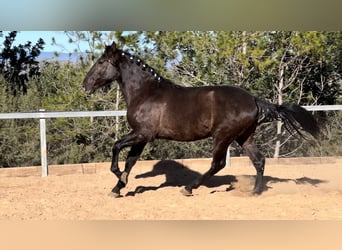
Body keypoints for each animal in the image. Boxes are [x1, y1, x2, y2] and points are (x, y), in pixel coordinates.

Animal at [83, 41, 320, 197]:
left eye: (102, 61)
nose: (85, 86)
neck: (146, 92)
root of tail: (253, 99)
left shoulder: (143, 133)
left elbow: (116, 147)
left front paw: (118, 177)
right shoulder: (141, 137)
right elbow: (131, 161)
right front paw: (118, 188)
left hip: (223, 136)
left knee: (218, 164)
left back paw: (189, 188)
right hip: (244, 137)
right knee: (259, 160)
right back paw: (255, 191)